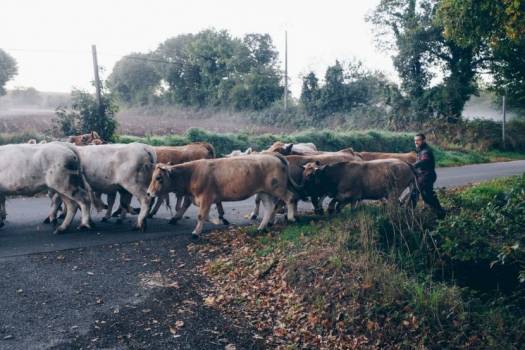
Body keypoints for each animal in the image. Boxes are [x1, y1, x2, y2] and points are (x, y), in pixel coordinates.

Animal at [145, 154, 298, 238]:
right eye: (152, 177)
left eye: (159, 178)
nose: (148, 193)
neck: (192, 173)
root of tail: (273, 155)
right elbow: (201, 213)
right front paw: (217, 220)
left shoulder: (206, 198)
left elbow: (201, 215)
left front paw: (196, 233)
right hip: (264, 192)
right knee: (269, 208)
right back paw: (261, 227)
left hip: (277, 188)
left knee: (290, 197)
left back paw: (291, 218)